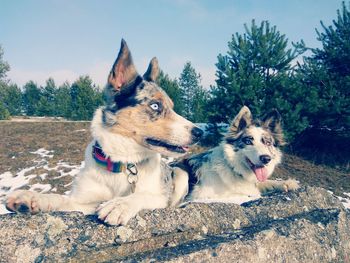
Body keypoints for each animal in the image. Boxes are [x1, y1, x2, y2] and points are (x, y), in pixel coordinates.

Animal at [4, 40, 202, 226]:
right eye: (155, 105)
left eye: (172, 107)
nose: (199, 132)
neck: (124, 162)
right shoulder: (84, 202)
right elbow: (63, 200)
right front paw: (32, 198)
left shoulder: (160, 198)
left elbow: (143, 195)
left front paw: (120, 204)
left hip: (180, 174)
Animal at [171, 105, 300, 206]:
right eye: (248, 141)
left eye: (267, 143)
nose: (266, 159)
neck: (234, 169)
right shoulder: (200, 195)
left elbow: (264, 182)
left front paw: (287, 183)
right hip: (180, 172)